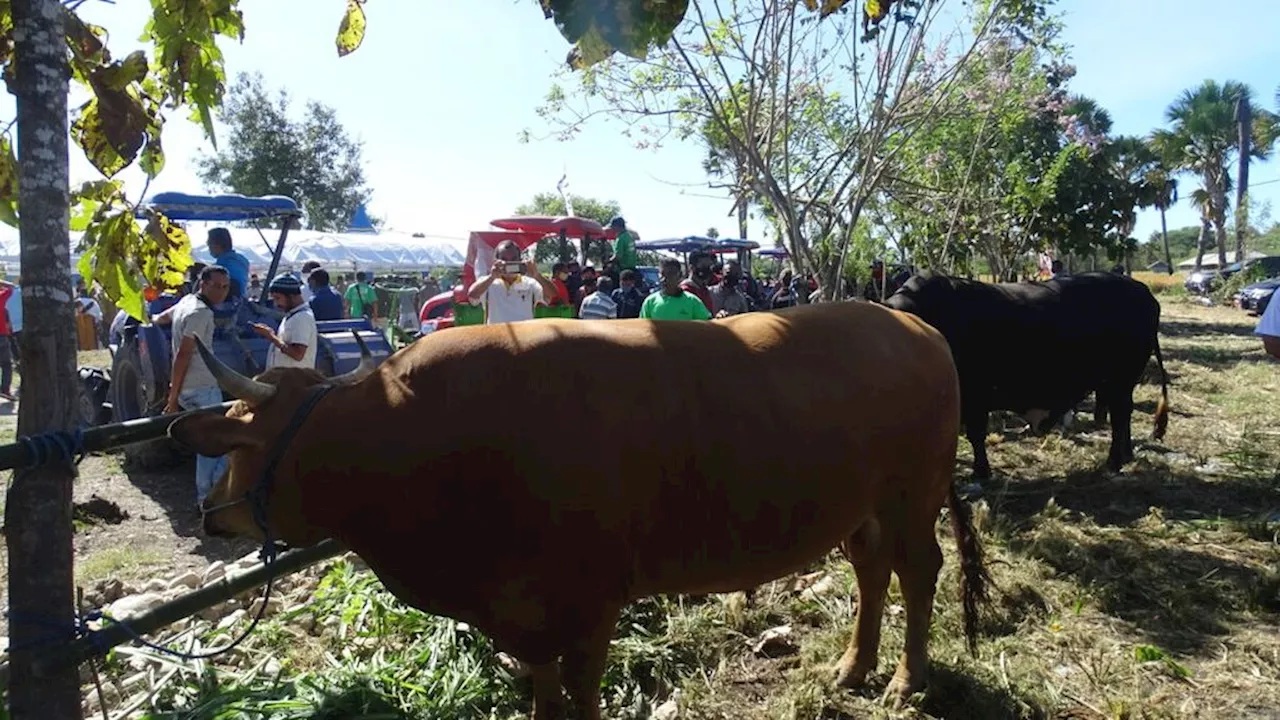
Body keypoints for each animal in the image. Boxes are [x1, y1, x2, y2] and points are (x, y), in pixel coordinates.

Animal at [170, 299, 988, 712]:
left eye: (240, 443)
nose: (213, 510)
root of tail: (912, 324)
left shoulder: (592, 606)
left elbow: (581, 695)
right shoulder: (525, 619)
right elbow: (545, 695)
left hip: (912, 498)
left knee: (919, 572)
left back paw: (907, 679)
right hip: (862, 508)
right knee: (872, 571)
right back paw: (854, 667)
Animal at [880, 269, 1172, 476]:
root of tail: (1144, 292)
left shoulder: (975, 397)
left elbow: (975, 435)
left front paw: (981, 472)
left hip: (1119, 380)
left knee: (1121, 416)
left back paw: (1113, 463)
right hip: (1116, 383)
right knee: (1124, 415)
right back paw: (1126, 455)